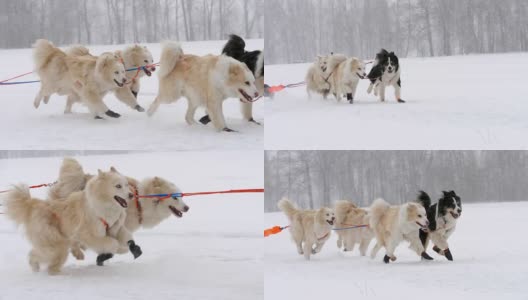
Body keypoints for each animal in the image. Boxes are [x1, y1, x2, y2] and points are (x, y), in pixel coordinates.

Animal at [3, 169, 134, 274]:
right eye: (118, 186)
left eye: (126, 184)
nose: (131, 195)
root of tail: (34, 204)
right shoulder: (87, 234)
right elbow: (112, 243)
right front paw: (121, 249)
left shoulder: (116, 227)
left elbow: (126, 237)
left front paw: (127, 246)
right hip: (55, 243)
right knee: (39, 256)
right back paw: (41, 269)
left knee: (49, 261)